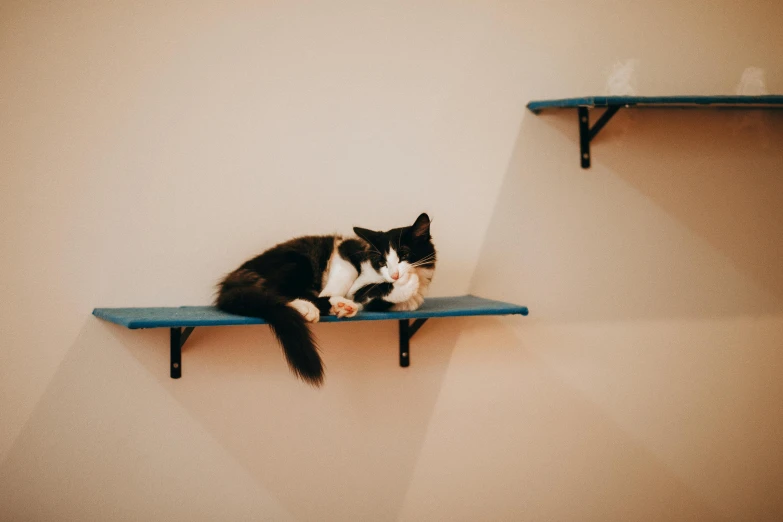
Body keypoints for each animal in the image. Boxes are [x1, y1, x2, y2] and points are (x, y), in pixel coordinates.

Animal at [216, 212, 434, 386]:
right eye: (382, 261)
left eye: (404, 254)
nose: (395, 274)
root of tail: (233, 278)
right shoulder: (345, 251)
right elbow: (350, 281)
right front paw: (408, 282)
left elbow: (376, 295)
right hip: (297, 262)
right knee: (274, 292)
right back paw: (316, 305)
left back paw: (341, 305)